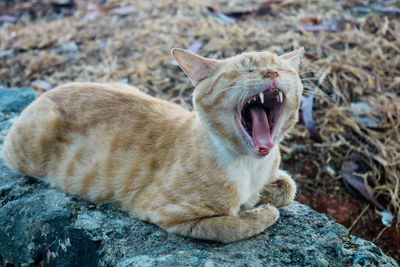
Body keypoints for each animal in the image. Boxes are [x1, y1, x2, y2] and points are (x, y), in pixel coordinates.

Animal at [2, 47, 304, 243]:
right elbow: (231, 227)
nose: (272, 72)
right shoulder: (169, 213)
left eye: (284, 68)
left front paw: (264, 196)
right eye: (247, 69)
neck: (250, 165)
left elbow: (288, 188)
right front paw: (261, 211)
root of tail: (43, 95)